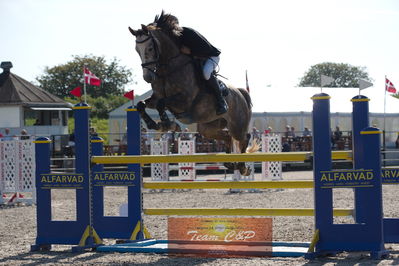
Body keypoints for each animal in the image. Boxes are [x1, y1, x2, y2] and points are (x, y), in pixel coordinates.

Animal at [130, 11, 258, 176]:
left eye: (150, 48)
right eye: (137, 50)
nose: (148, 77)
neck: (168, 68)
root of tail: (241, 93)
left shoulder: (184, 100)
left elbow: (161, 104)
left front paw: (167, 124)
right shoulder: (157, 97)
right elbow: (142, 104)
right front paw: (156, 124)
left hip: (237, 124)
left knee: (243, 137)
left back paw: (242, 167)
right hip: (208, 127)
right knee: (227, 136)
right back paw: (230, 163)